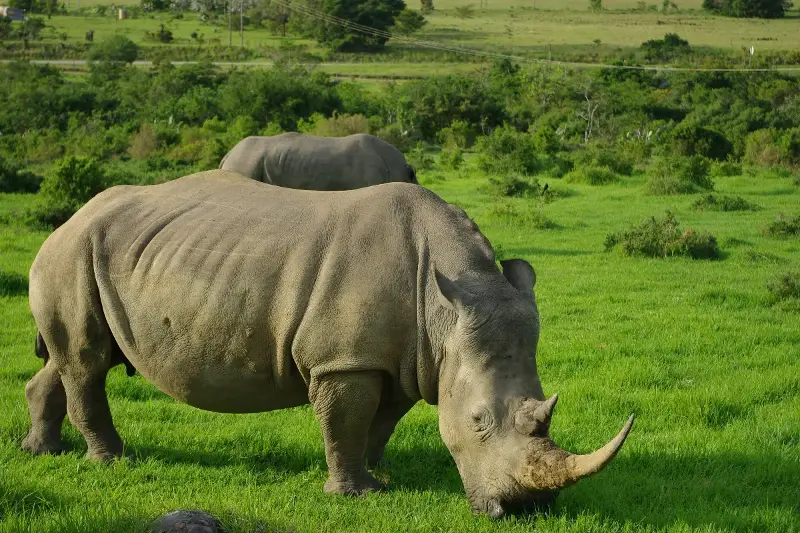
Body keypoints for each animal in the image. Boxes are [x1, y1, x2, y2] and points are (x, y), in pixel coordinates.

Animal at [23, 170, 633, 517]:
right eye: (479, 422)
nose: (531, 510)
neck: (443, 309)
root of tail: (72, 215)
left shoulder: (406, 357)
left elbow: (379, 421)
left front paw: (381, 475)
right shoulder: (345, 360)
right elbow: (345, 421)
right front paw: (355, 495)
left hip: (94, 253)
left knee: (72, 357)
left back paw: (40, 452)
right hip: (72, 250)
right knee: (86, 360)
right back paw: (111, 460)